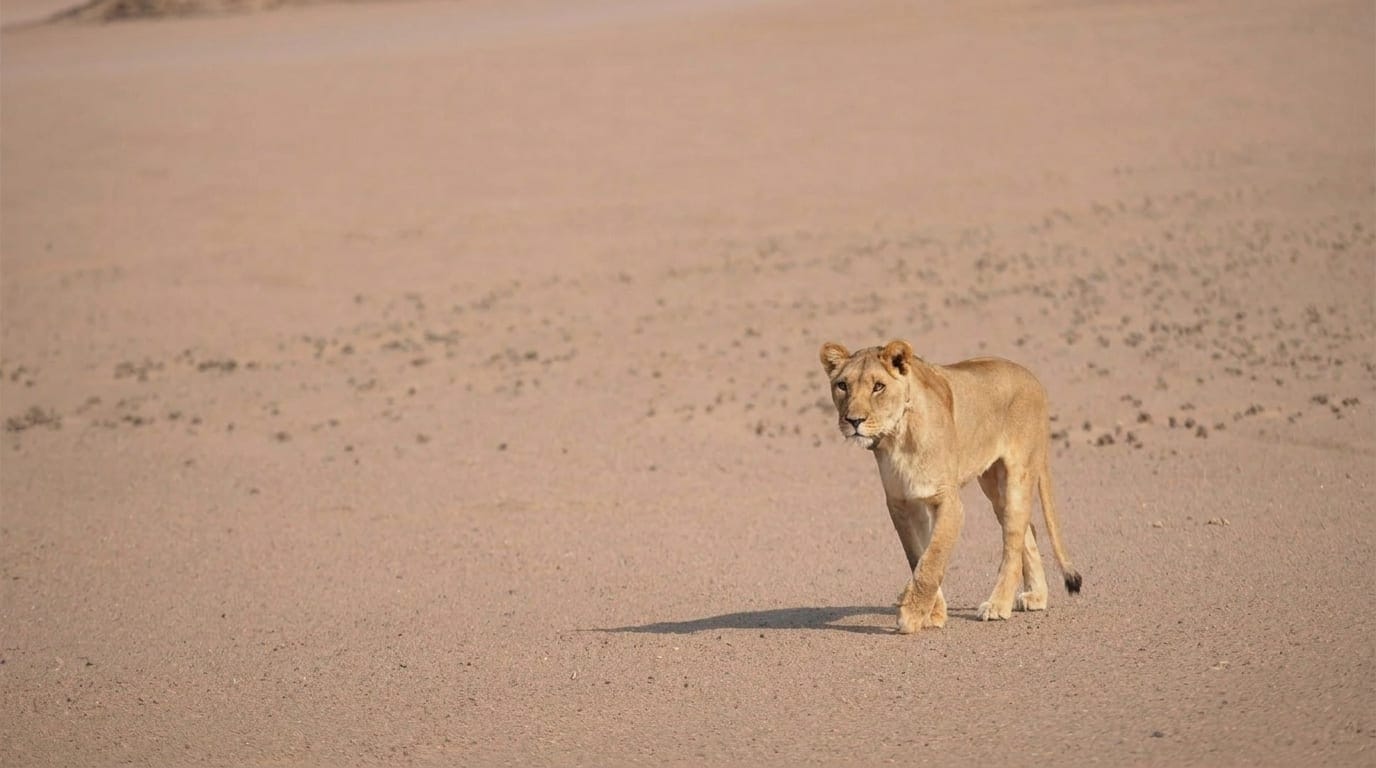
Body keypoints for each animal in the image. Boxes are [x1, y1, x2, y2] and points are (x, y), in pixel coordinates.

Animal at [819, 340, 1082, 634]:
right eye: (842, 385)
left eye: (878, 386)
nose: (853, 421)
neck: (898, 436)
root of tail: (1033, 379)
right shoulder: (902, 503)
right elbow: (918, 556)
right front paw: (932, 613)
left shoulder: (948, 501)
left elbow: (933, 558)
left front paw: (912, 614)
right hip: (994, 485)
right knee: (1029, 528)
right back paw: (1036, 596)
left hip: (1018, 474)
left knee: (1013, 540)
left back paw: (998, 605)